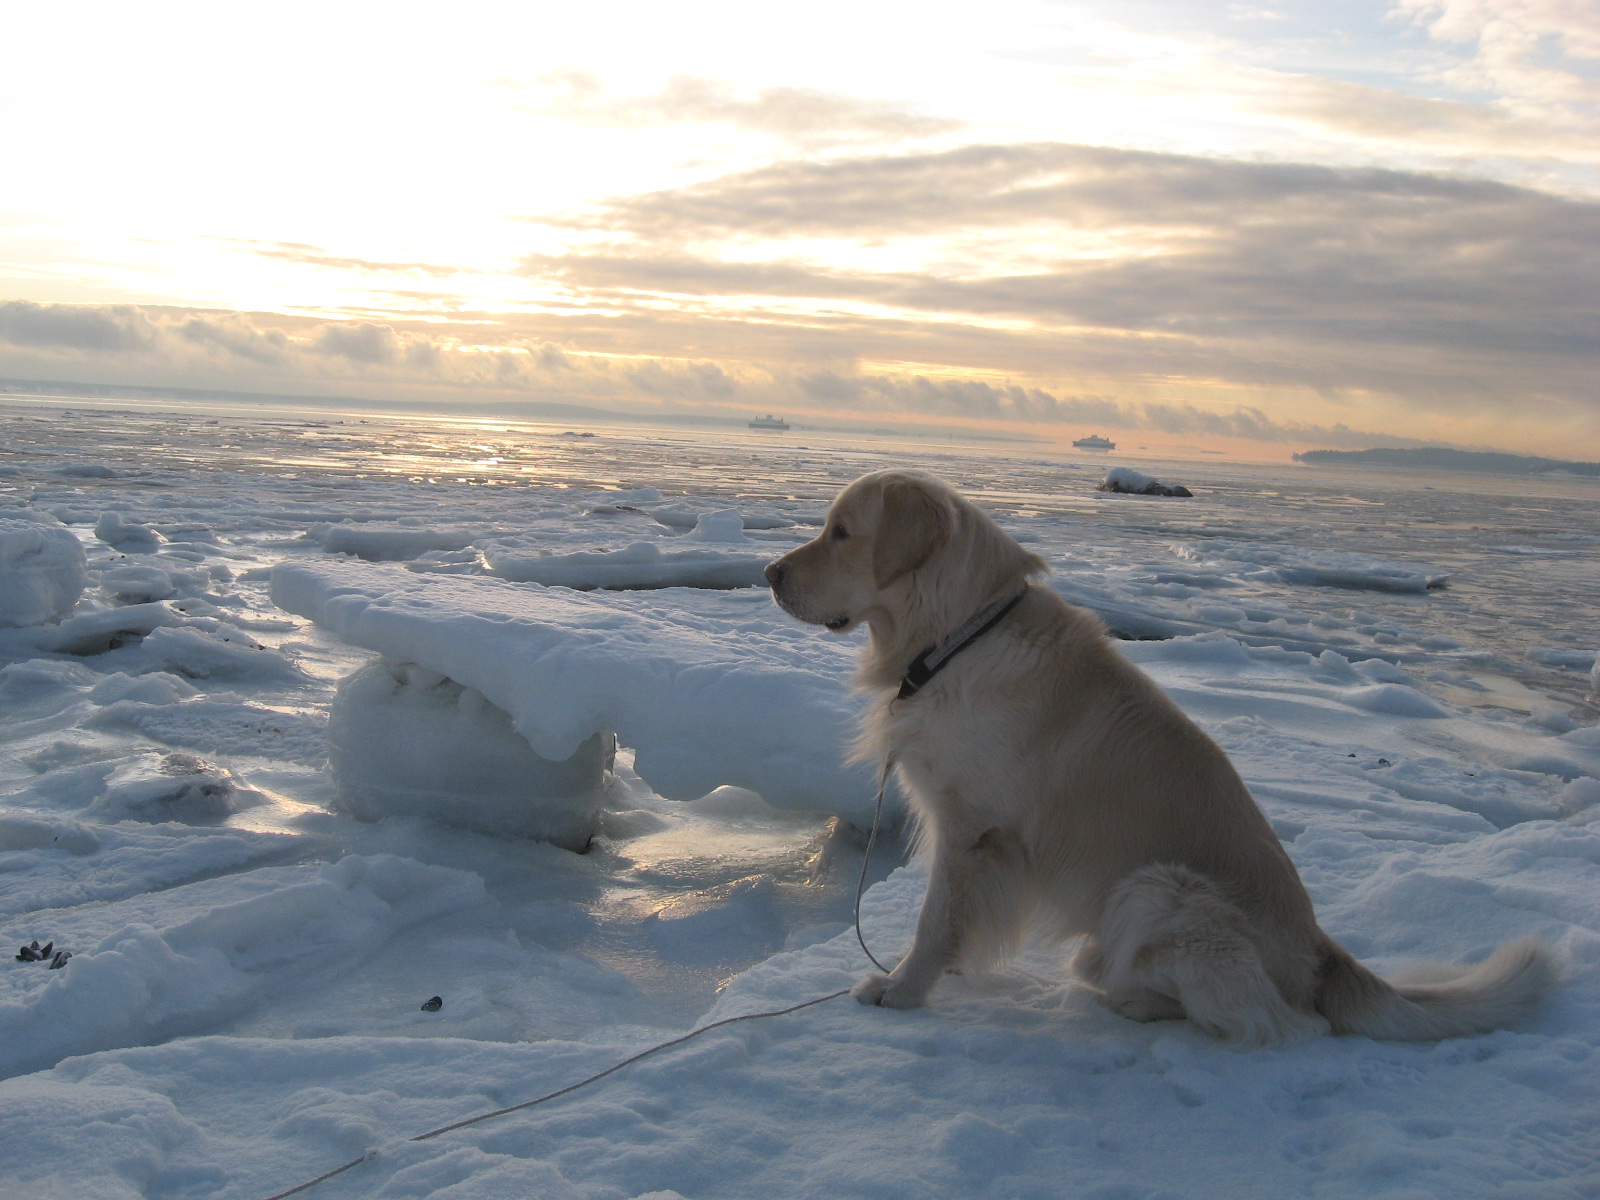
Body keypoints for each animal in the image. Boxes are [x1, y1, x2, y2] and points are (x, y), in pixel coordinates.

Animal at [768, 473, 1555, 1049]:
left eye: (841, 532)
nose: (770, 571)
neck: (958, 634)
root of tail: (1320, 951)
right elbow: (958, 919)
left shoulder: (972, 827)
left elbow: (934, 920)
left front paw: (900, 990)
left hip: (1157, 888)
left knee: (1281, 1022)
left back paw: (1134, 999)